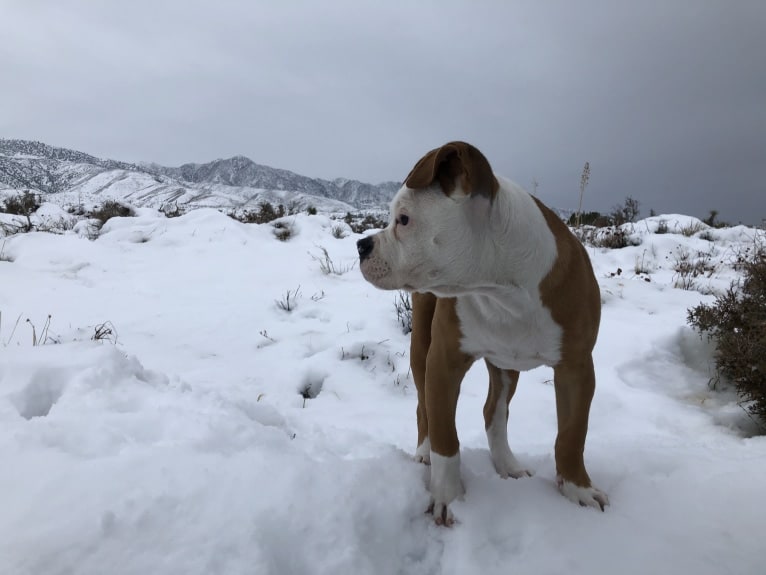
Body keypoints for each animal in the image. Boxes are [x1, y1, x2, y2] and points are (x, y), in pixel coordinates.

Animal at [360, 141, 612, 528]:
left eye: (403, 219)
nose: (362, 245)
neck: (504, 290)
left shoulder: (577, 367)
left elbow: (572, 433)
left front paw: (577, 488)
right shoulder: (443, 361)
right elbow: (446, 440)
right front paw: (447, 498)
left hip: (506, 365)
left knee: (494, 411)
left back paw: (507, 465)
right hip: (421, 348)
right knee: (424, 409)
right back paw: (423, 453)